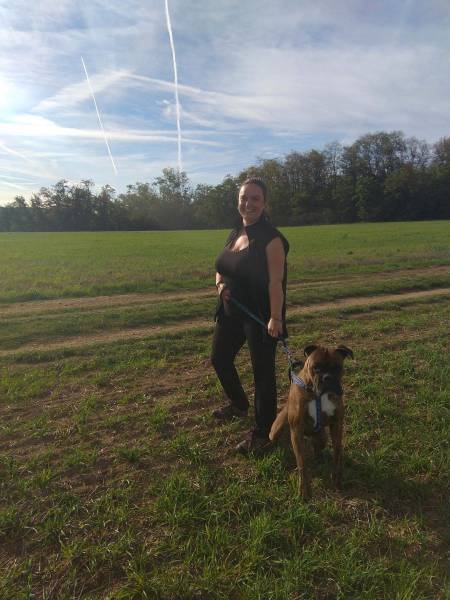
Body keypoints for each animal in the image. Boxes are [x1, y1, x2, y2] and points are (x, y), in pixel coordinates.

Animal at [269, 344, 354, 499]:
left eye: (337, 367)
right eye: (316, 367)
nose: (327, 378)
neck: (319, 395)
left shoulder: (336, 425)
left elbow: (337, 453)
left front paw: (336, 478)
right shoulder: (296, 431)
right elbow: (302, 463)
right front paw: (304, 490)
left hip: (322, 436)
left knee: (318, 445)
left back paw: (319, 457)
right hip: (276, 429)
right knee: (276, 438)